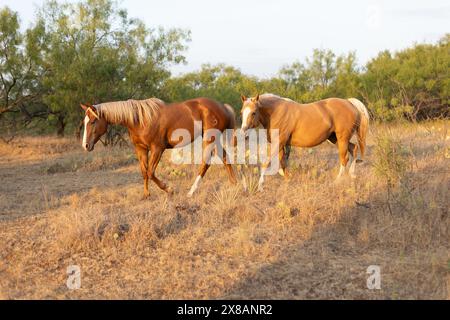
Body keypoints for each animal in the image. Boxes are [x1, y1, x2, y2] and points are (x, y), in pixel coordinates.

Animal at [80, 97, 237, 198]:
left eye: (93, 121)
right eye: (85, 121)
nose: (85, 145)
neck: (140, 120)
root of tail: (223, 107)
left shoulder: (157, 149)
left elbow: (150, 172)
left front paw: (169, 189)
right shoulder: (141, 149)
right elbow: (144, 172)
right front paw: (146, 195)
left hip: (209, 139)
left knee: (206, 162)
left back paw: (191, 192)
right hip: (214, 140)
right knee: (224, 158)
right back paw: (235, 184)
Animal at [239, 94, 370, 191]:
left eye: (253, 112)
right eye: (241, 112)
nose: (243, 133)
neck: (276, 112)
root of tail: (349, 103)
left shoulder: (279, 143)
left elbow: (266, 163)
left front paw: (260, 185)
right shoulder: (281, 145)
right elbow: (283, 162)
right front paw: (288, 179)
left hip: (342, 139)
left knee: (344, 158)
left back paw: (337, 181)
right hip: (335, 139)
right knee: (354, 149)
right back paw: (352, 175)